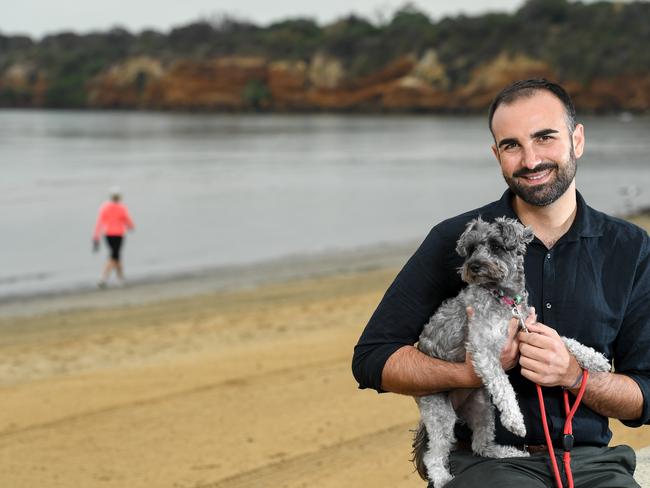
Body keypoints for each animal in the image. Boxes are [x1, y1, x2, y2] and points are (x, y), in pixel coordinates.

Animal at [410, 217, 608, 488]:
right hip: (441, 414)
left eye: (496, 246)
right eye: (470, 249)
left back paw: (505, 452)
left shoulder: (531, 328)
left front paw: (594, 358)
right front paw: (515, 420)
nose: (473, 266)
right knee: (434, 454)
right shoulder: (484, 351)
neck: (504, 299)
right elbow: (503, 386)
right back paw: (442, 479)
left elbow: (565, 340)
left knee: (480, 445)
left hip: (482, 407)